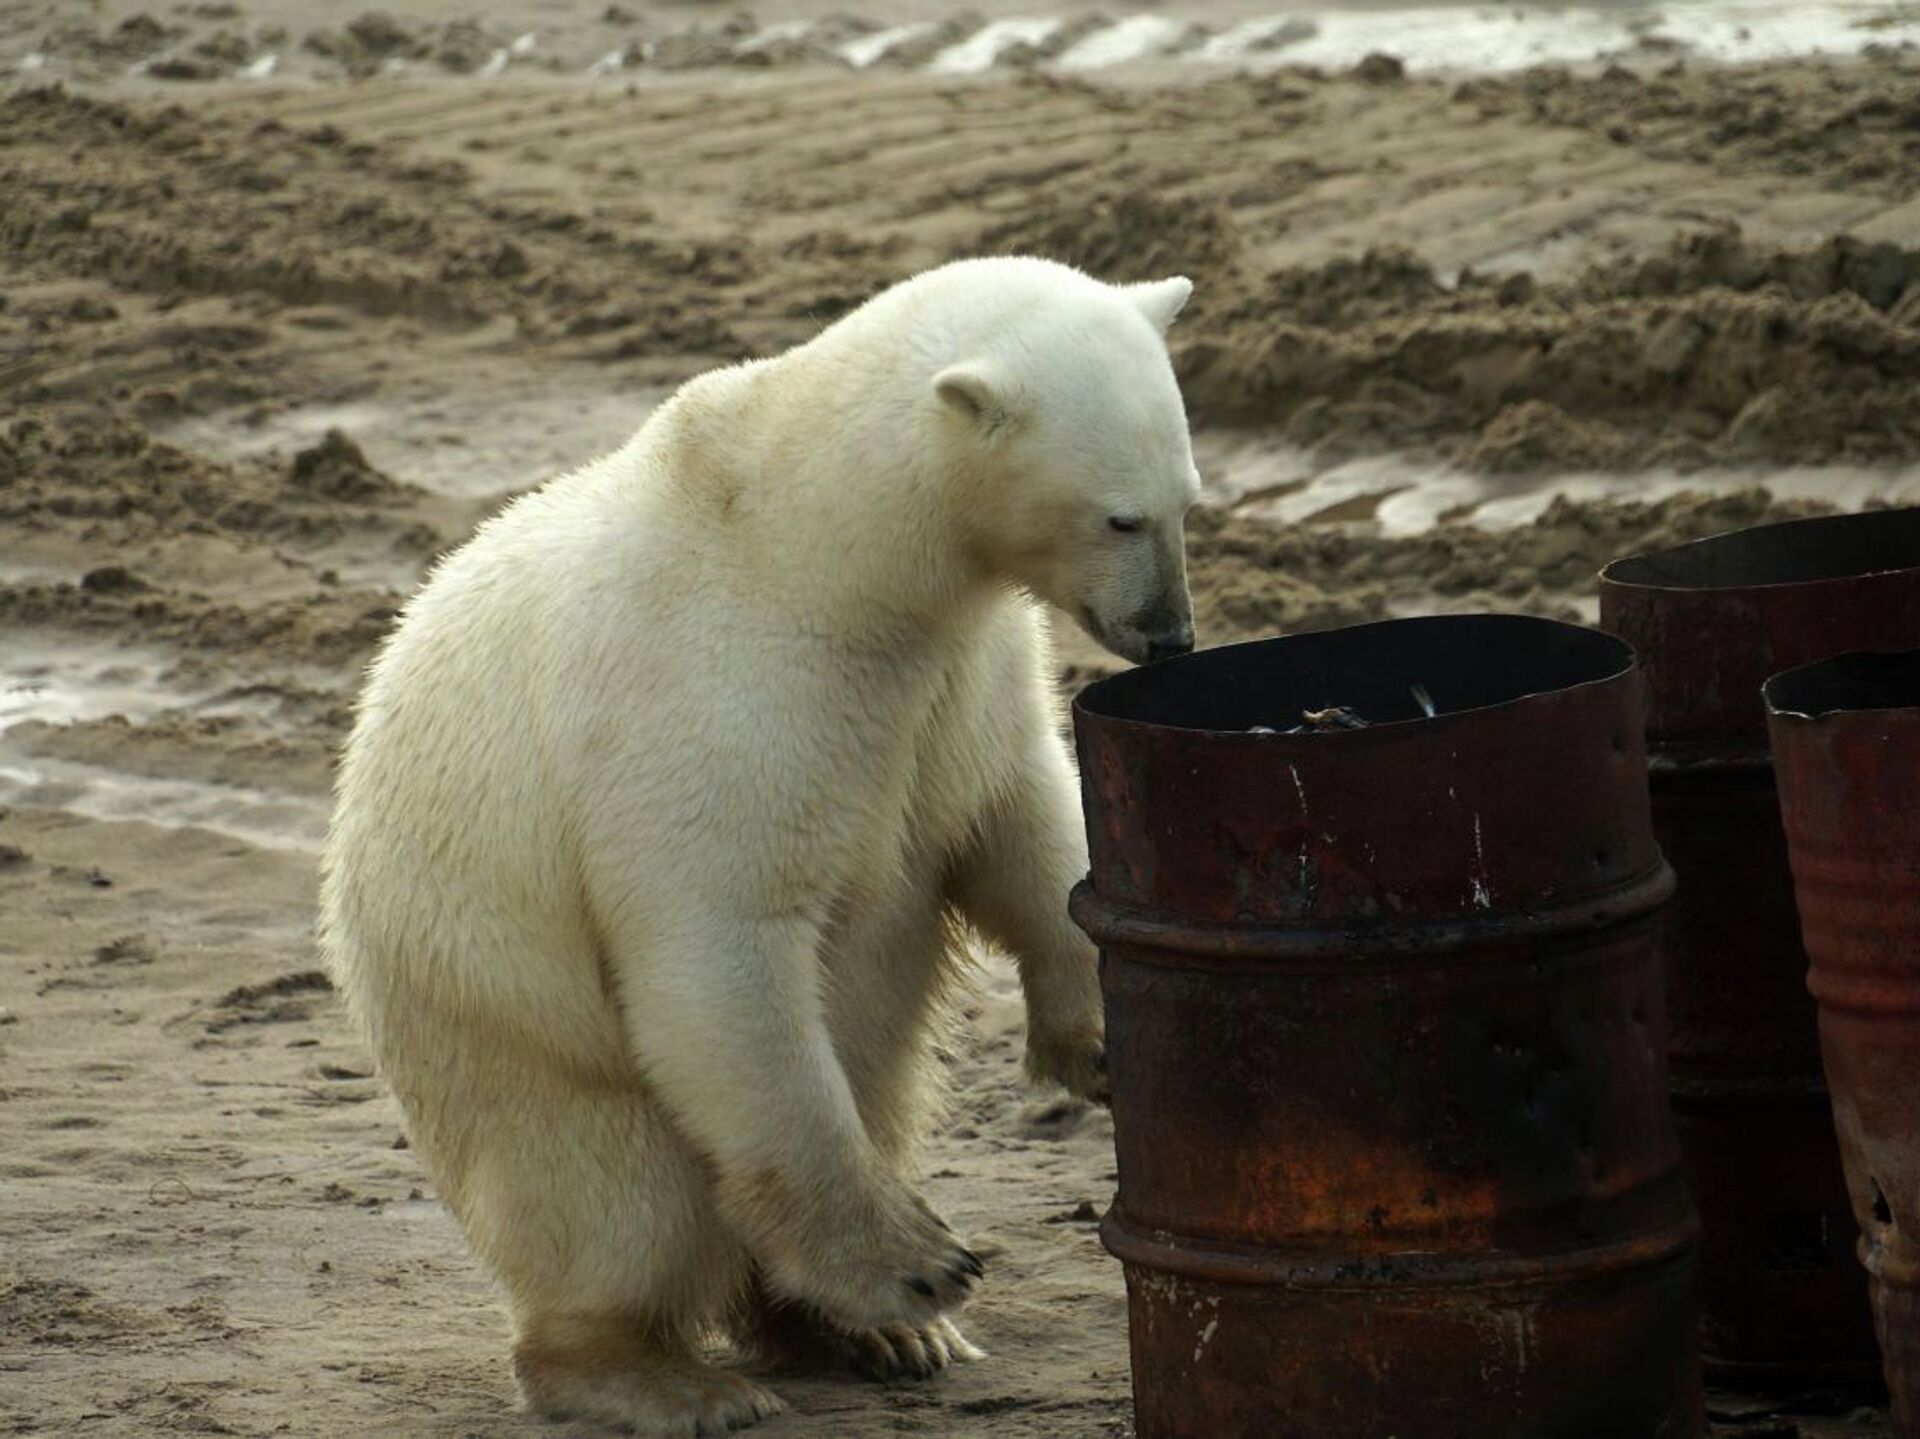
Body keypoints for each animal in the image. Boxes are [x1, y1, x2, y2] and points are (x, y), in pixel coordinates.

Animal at [324, 255, 1198, 1429]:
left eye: (1190, 501)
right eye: (1119, 518)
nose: (1171, 633)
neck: (819, 548)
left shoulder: (955, 674)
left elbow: (1013, 814)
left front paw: (1094, 1038)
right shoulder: (719, 695)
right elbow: (721, 953)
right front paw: (919, 1265)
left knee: (873, 1086)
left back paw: (867, 1337)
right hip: (497, 1025)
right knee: (610, 1190)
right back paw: (673, 1373)